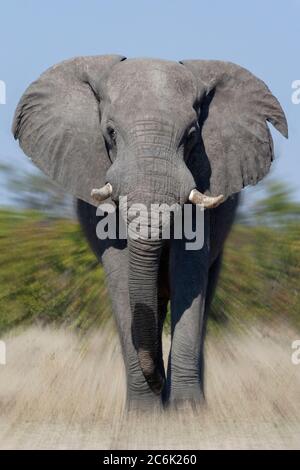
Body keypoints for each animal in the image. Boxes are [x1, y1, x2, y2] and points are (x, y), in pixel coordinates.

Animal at [12, 55, 288, 412]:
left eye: (191, 134)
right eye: (110, 132)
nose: (158, 380)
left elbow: (189, 271)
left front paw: (186, 413)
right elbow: (120, 271)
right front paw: (144, 415)